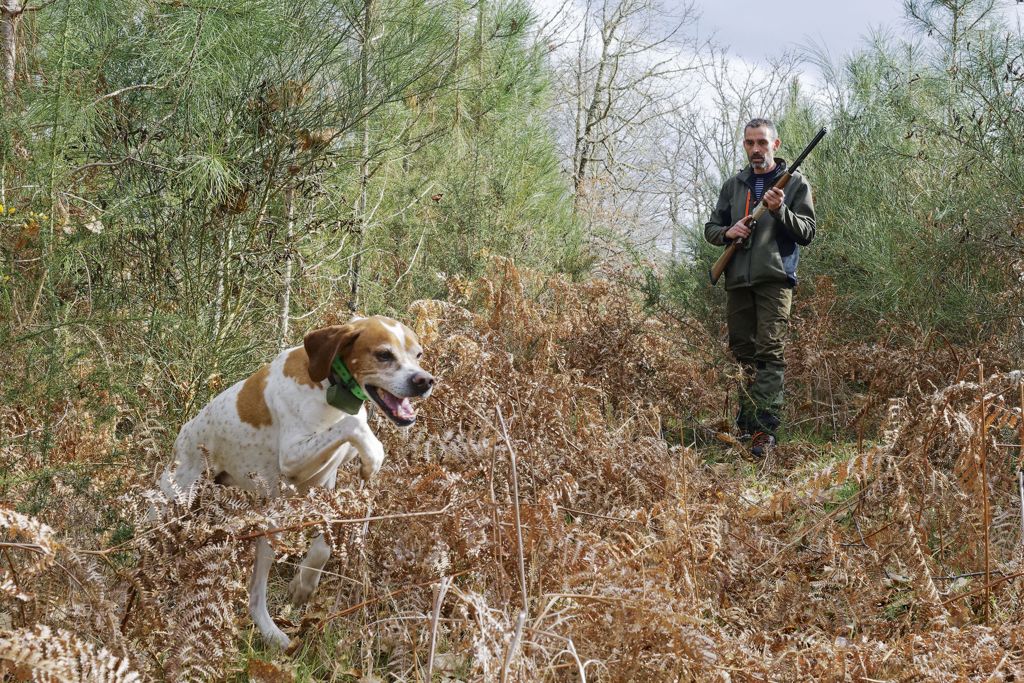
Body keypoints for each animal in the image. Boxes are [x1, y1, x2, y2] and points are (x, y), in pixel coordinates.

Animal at [157, 315, 434, 647]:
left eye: (418, 354)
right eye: (383, 355)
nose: (425, 381)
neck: (329, 384)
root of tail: (184, 433)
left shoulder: (324, 483)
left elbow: (324, 544)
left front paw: (304, 582)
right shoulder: (292, 457)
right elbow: (353, 427)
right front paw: (374, 457)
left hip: (269, 530)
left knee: (255, 598)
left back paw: (274, 636)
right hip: (175, 503)